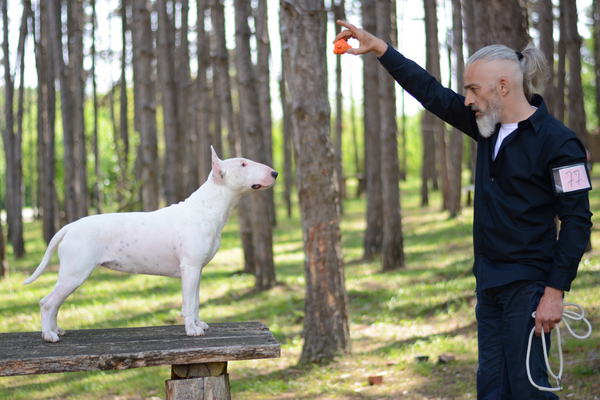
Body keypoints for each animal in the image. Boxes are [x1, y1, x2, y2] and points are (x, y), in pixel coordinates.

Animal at [22, 148, 276, 342]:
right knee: (47, 303)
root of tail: (70, 226)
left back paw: (56, 329)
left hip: (71, 276)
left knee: (55, 304)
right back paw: (48, 335)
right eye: (243, 164)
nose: (274, 173)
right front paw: (191, 330)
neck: (207, 208)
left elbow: (195, 302)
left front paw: (199, 324)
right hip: (74, 273)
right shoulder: (190, 268)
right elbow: (187, 304)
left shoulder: (197, 270)